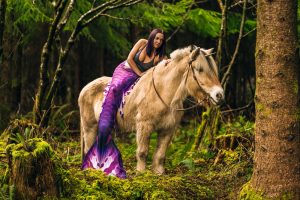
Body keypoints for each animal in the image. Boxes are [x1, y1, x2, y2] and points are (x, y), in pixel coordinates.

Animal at [78, 45, 224, 175]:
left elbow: (160, 154)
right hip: (90, 127)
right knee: (88, 147)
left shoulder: (168, 129)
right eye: (200, 69)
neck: (163, 93)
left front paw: (158, 173)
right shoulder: (144, 126)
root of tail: (84, 89)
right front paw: (141, 173)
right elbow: (142, 152)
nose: (219, 95)